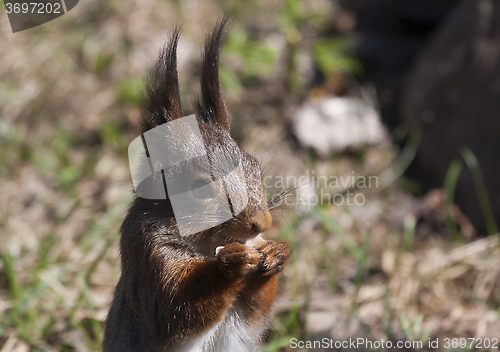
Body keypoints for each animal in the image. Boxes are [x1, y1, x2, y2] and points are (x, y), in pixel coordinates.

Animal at [104, 19, 292, 352]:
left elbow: (256, 312)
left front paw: (275, 252)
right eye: (201, 188)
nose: (262, 223)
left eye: (256, 168)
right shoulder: (150, 259)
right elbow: (178, 310)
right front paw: (231, 263)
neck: (206, 246)